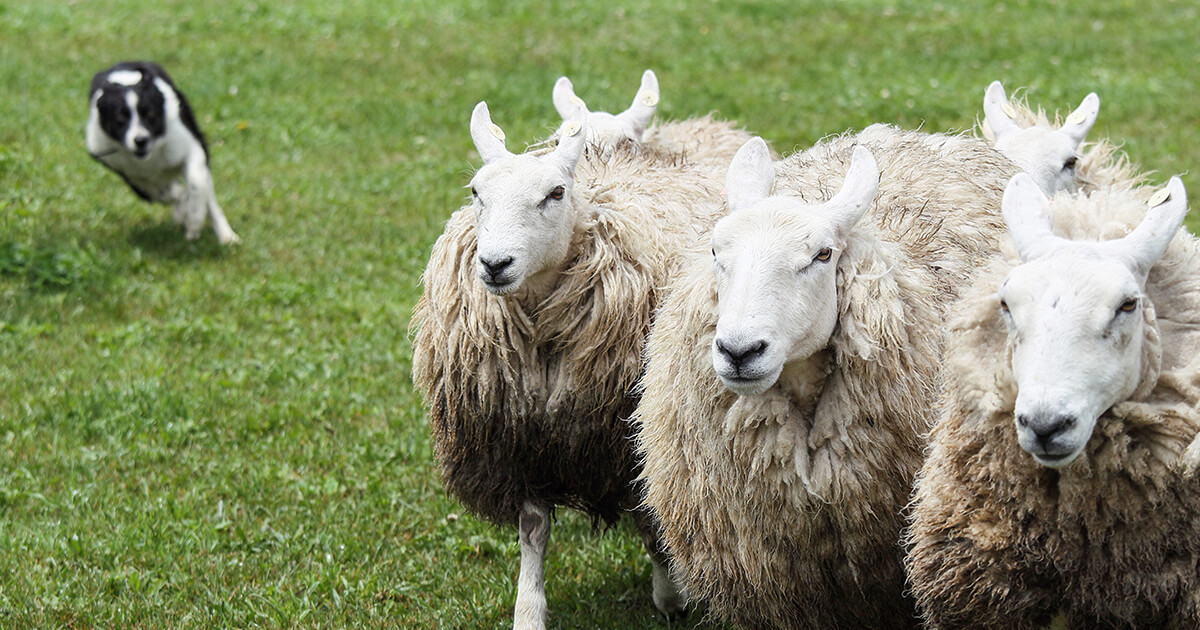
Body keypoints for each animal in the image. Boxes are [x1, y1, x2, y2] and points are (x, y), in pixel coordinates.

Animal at [87, 60, 238, 243]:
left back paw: (227, 237)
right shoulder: (127, 171)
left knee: (208, 198)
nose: (140, 140)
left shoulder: (191, 146)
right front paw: (182, 207)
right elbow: (164, 193)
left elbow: (196, 183)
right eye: (120, 119)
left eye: (150, 114)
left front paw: (193, 222)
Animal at [412, 100, 748, 624]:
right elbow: (532, 532)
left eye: (555, 192)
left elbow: (650, 518)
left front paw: (669, 594)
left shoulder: (625, 436)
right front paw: (528, 612)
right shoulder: (522, 438)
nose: (494, 264)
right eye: (476, 192)